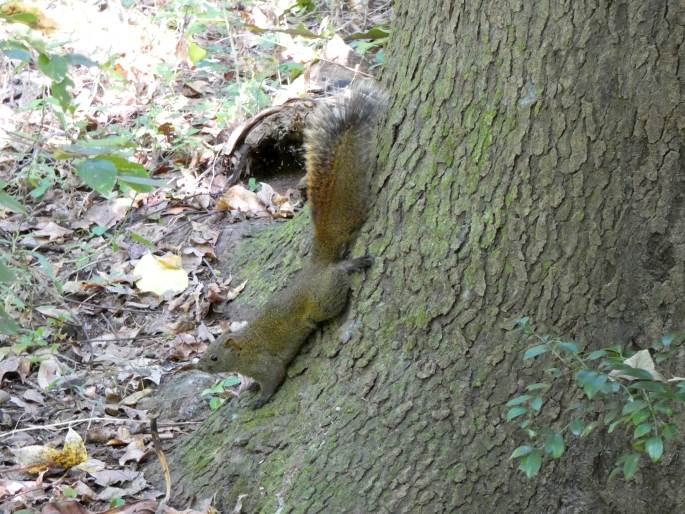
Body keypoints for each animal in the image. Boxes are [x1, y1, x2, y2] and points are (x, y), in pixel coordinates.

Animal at [196, 82, 384, 406]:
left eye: (215, 358)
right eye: (208, 353)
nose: (198, 366)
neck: (247, 346)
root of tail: (317, 267)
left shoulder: (265, 364)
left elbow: (274, 378)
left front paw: (258, 399)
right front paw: (250, 390)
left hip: (323, 301)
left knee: (336, 286)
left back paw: (352, 267)